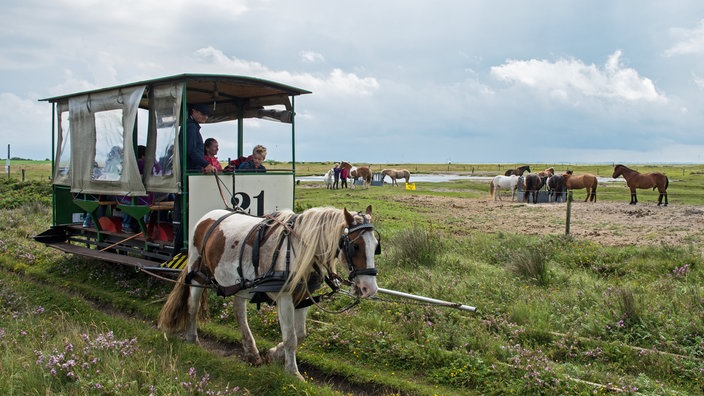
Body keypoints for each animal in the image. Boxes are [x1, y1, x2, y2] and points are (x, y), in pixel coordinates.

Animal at [158, 206, 380, 378]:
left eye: (376, 246)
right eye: (355, 246)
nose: (369, 289)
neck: (298, 250)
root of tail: (206, 217)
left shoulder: (303, 299)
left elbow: (300, 335)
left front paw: (273, 354)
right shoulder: (284, 298)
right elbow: (290, 338)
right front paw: (293, 372)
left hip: (241, 284)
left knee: (239, 312)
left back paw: (252, 352)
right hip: (198, 275)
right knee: (192, 306)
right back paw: (192, 338)